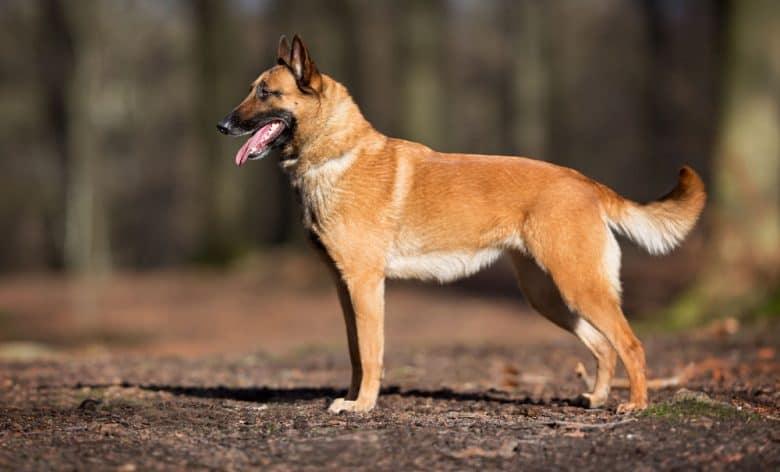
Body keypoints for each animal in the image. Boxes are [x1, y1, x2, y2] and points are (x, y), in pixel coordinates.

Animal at [218, 36, 708, 412]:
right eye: (252, 89)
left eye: (266, 93)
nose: (222, 125)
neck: (336, 153)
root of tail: (585, 182)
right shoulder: (346, 288)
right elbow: (356, 354)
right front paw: (353, 398)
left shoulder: (366, 285)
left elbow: (372, 354)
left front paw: (363, 406)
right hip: (550, 296)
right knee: (604, 346)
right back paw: (597, 398)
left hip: (579, 286)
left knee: (630, 344)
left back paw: (636, 405)